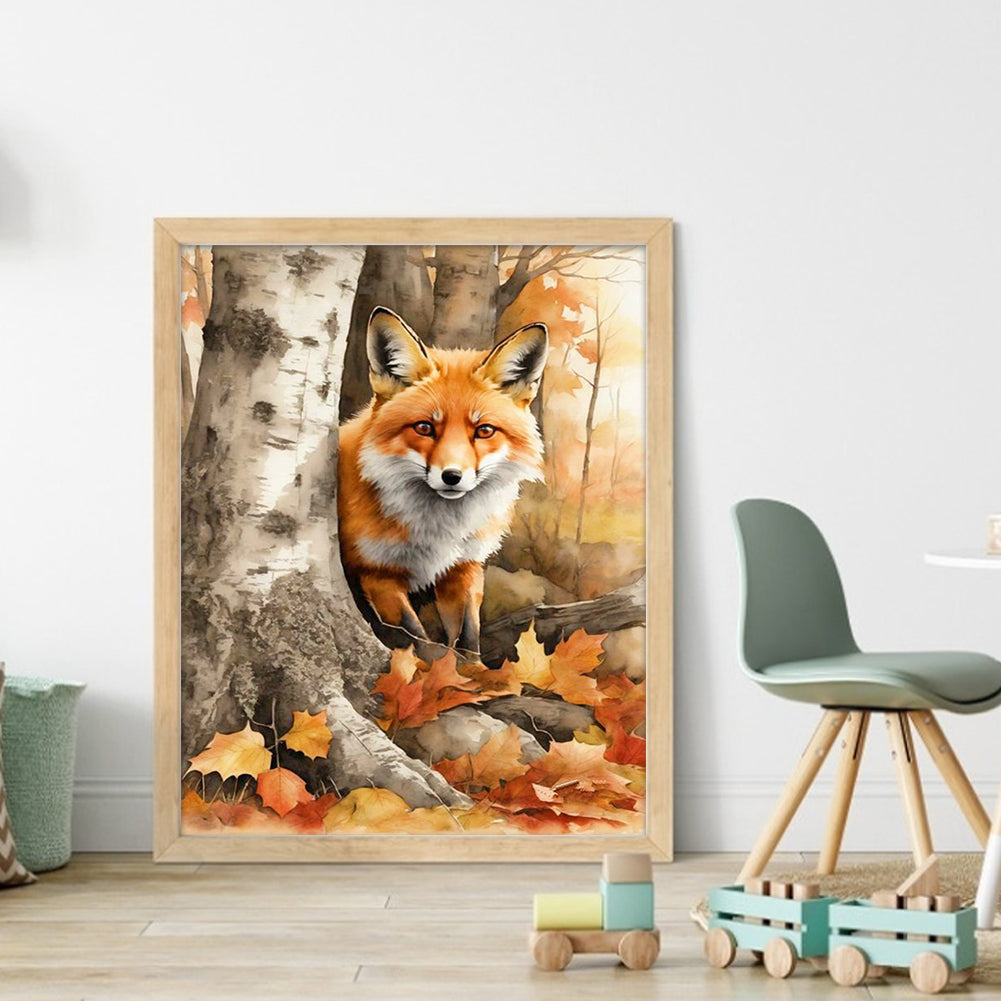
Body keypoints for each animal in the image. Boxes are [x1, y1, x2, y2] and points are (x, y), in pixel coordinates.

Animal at [338, 306, 548, 664]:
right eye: (424, 427)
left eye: (484, 431)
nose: (452, 476)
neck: (439, 531)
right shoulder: (376, 572)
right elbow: (418, 639)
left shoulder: (465, 567)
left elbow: (468, 637)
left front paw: (471, 672)